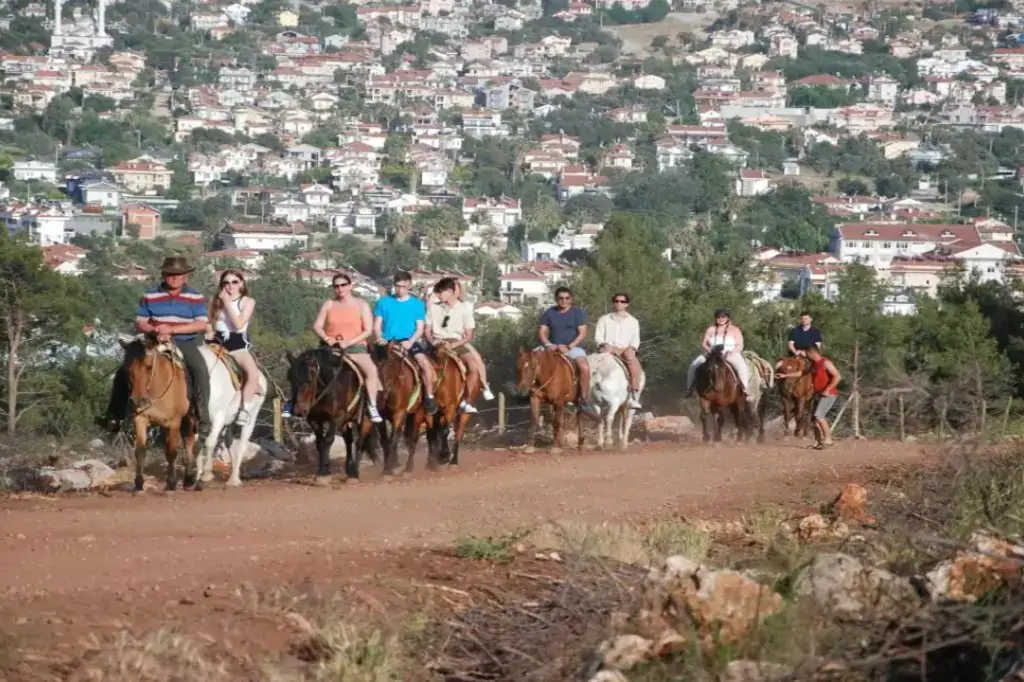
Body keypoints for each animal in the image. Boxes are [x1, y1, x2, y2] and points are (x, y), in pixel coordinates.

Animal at [119, 333, 197, 489]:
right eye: (127, 368)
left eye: (149, 366)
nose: (137, 400)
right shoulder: (141, 419)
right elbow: (140, 451)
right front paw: (139, 482)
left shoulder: (174, 422)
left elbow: (172, 452)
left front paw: (171, 483)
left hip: (189, 418)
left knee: (190, 441)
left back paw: (190, 478)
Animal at [284, 346, 372, 483]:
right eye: (290, 378)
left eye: (310, 378)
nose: (298, 410)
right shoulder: (314, 419)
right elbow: (320, 443)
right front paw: (323, 471)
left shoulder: (337, 418)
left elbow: (328, 440)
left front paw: (323, 475)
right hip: (344, 424)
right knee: (349, 440)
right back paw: (349, 469)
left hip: (365, 420)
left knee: (359, 443)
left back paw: (354, 474)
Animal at [374, 339, 425, 473]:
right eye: (376, 370)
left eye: (390, 368)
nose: (380, 397)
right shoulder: (381, 416)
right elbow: (385, 441)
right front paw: (388, 466)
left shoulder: (399, 413)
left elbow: (393, 440)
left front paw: (388, 469)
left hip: (418, 413)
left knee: (413, 438)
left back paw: (408, 468)